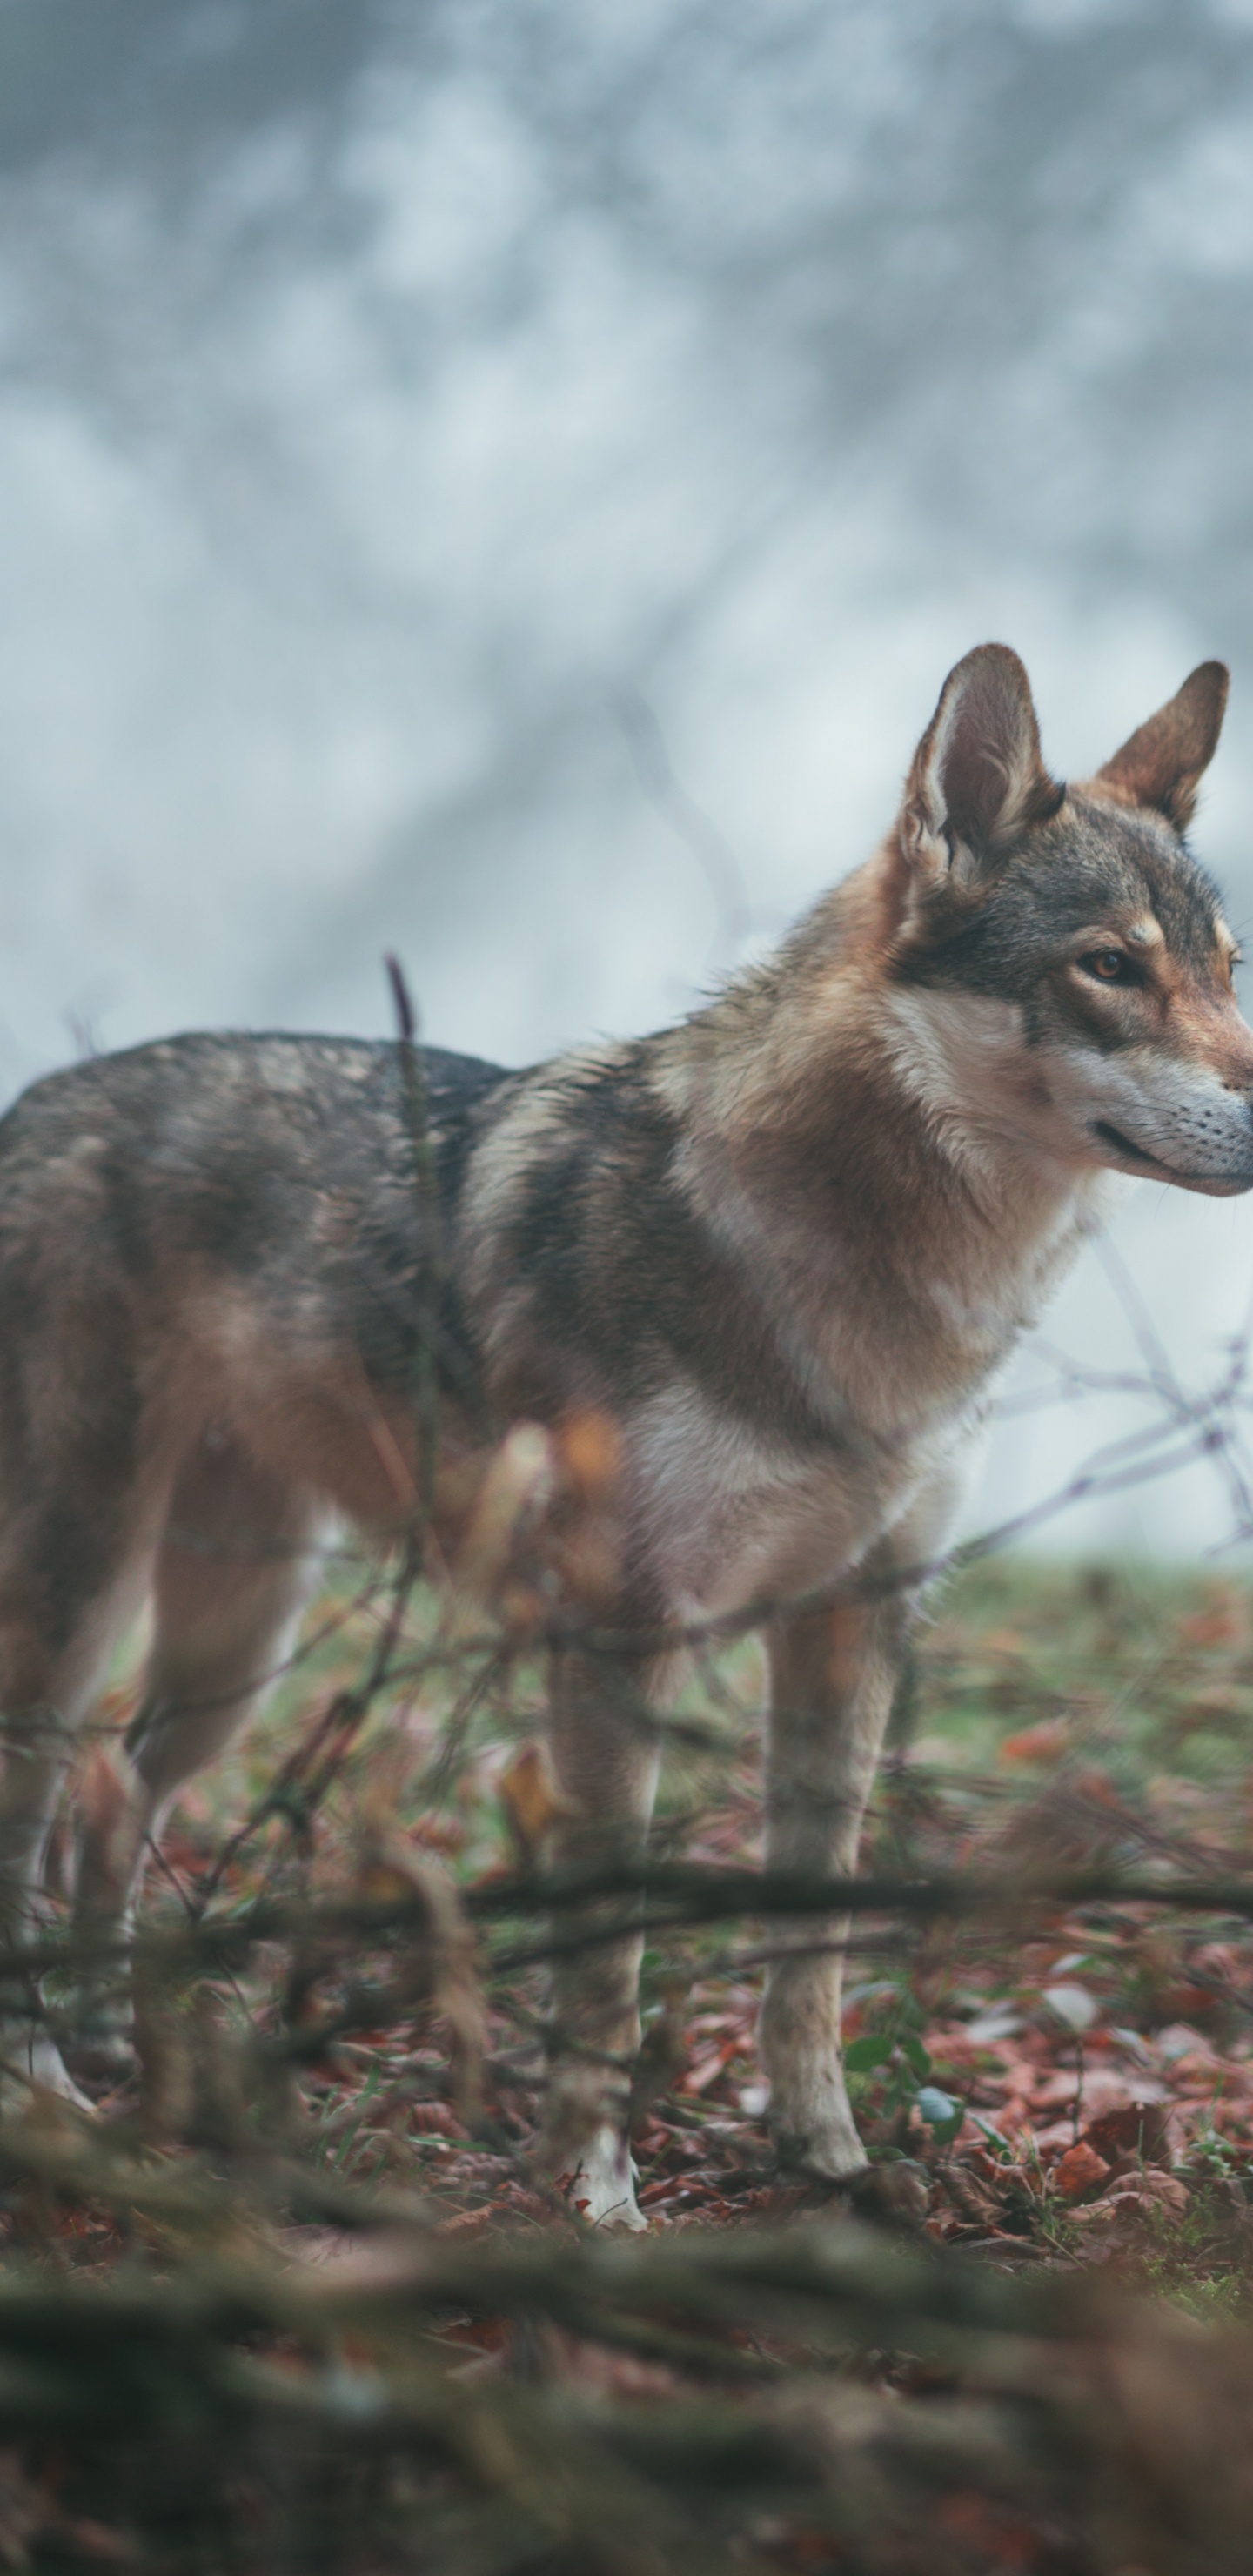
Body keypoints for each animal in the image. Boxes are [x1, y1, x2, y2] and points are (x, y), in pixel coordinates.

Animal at [0, 642, 1247, 2225]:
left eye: (1226, 971)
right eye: (1110, 966)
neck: (859, 1280)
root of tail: (31, 1103)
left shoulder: (854, 1624)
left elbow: (810, 1943)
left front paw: (830, 2165)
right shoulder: (615, 1639)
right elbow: (609, 1956)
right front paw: (593, 2193)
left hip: (239, 1641)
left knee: (109, 1793)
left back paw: (111, 2041)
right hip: (86, 1593)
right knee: (32, 1810)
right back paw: (42, 2086)